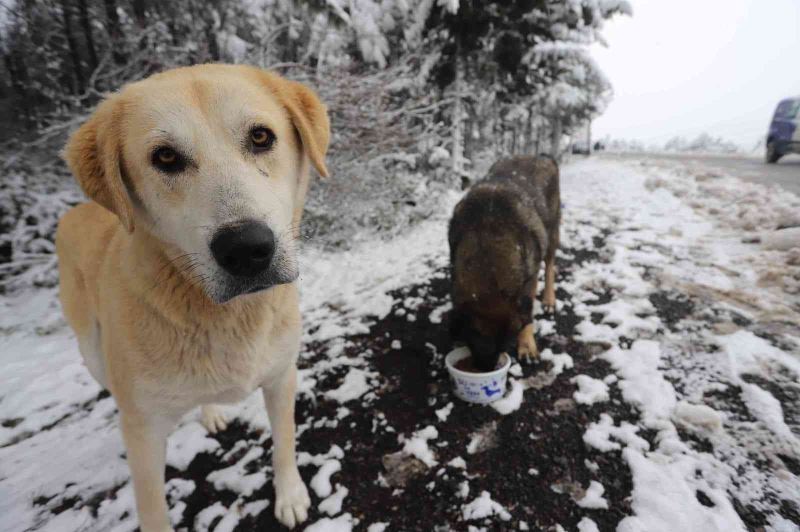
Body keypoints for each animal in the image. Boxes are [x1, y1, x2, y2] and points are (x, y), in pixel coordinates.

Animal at [55, 64, 328, 528]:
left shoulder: (280, 377)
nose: (246, 249)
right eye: (165, 157)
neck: (228, 317)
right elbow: (153, 511)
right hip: (92, 354)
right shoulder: (144, 433)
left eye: (261, 137)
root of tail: (75, 210)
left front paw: (290, 496)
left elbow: (285, 444)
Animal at [446, 154, 560, 370]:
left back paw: (549, 299)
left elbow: (527, 313)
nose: (485, 369)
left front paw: (527, 344)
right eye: (472, 338)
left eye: (504, 343)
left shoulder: (528, 281)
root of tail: (541, 156)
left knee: (550, 266)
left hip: (552, 232)